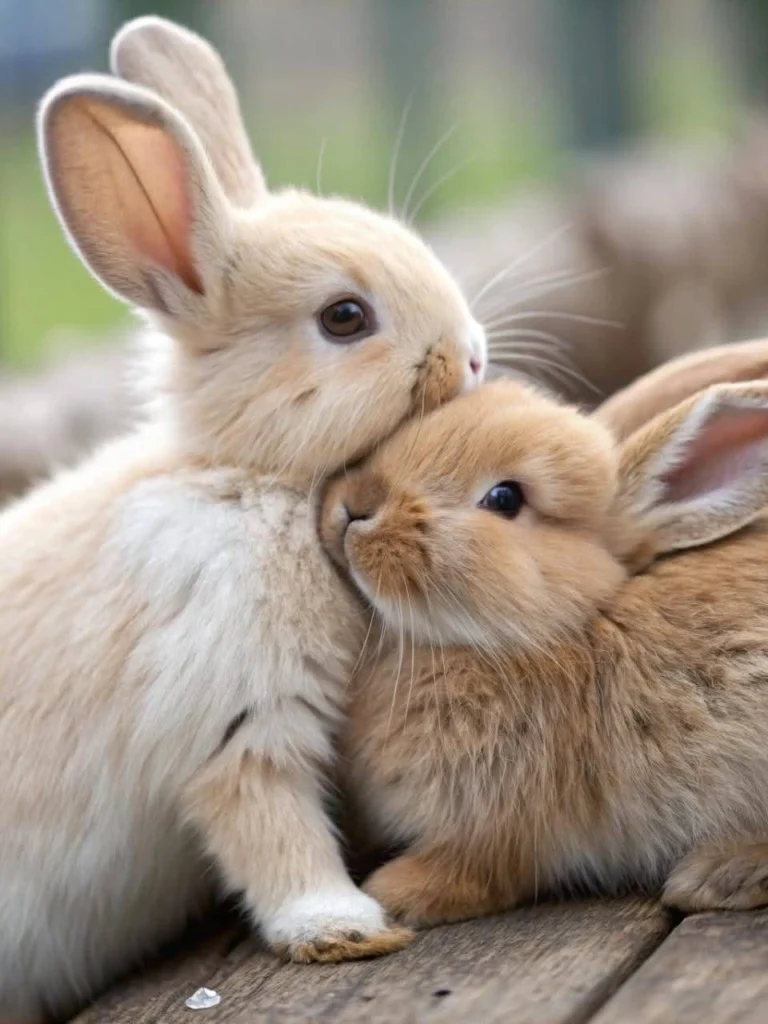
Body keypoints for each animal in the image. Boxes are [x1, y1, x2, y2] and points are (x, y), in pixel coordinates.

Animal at [0, 15, 486, 1023]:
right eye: (345, 318)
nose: (471, 357)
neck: (251, 479)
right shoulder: (238, 720)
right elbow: (274, 831)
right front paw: (346, 930)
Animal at [320, 376, 768, 930]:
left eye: (505, 498)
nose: (355, 508)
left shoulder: (501, 824)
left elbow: (477, 872)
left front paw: (393, 892)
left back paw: (718, 875)